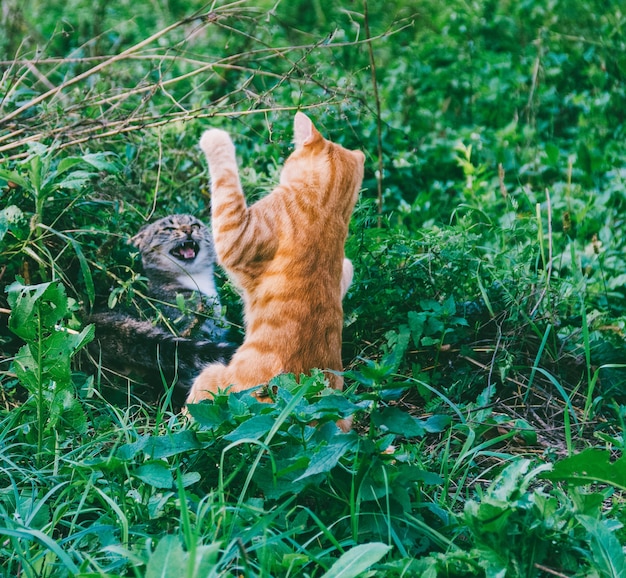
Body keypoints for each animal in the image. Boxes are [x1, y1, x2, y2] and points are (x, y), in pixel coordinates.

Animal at [185, 112, 360, 424]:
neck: (327, 206)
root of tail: (302, 409)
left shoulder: (236, 234)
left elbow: (226, 184)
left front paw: (215, 138)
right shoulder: (341, 267)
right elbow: (348, 269)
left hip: (209, 376)